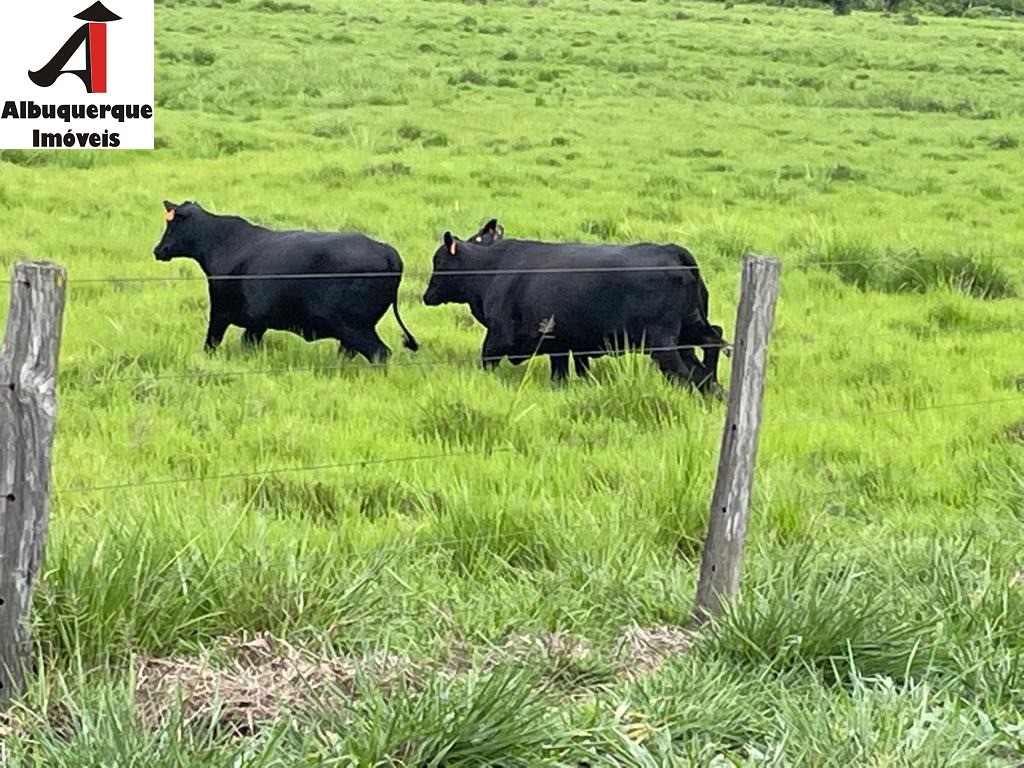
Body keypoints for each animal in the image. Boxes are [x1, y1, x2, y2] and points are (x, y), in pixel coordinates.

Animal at [150, 201, 419, 364]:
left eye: (172, 224)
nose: (158, 250)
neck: (224, 243)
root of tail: (385, 249)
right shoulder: (257, 323)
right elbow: (249, 344)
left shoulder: (220, 312)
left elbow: (211, 343)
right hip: (352, 330)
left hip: (355, 326)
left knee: (379, 353)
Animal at [419, 222, 724, 391]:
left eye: (439, 261)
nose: (426, 295)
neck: (491, 269)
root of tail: (672, 250)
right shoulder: (563, 344)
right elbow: (565, 374)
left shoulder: (499, 336)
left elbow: (487, 361)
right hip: (689, 331)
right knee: (712, 345)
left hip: (663, 342)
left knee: (684, 373)